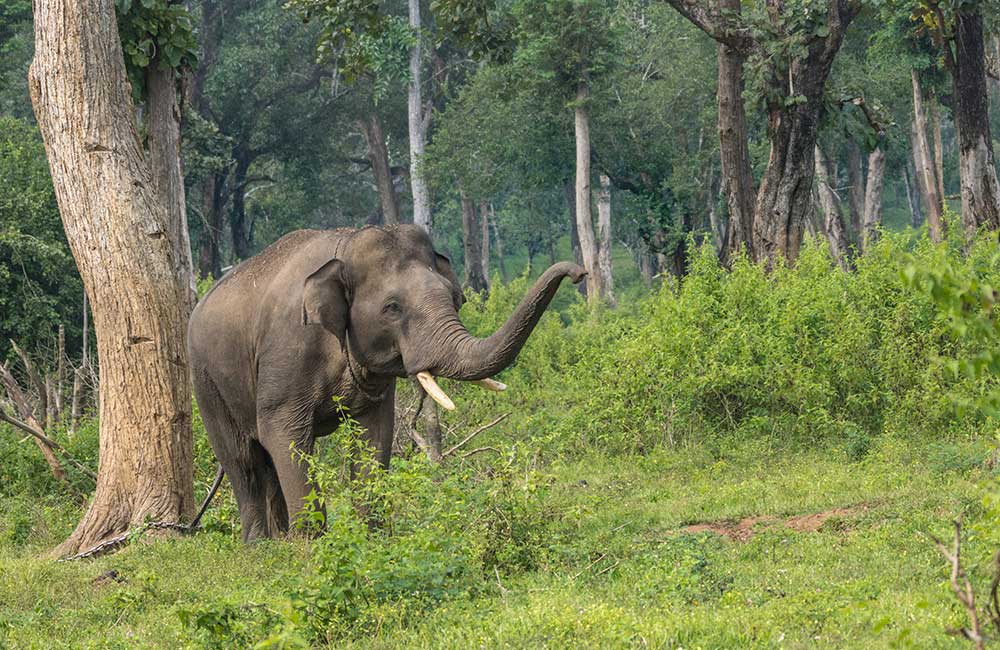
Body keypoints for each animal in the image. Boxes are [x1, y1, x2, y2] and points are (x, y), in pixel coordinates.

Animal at [188, 225, 584, 540]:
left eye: (454, 297)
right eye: (392, 308)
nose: (579, 273)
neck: (346, 246)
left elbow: (374, 436)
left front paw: (371, 540)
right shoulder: (287, 352)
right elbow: (283, 434)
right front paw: (310, 550)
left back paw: (276, 541)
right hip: (206, 382)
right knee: (243, 460)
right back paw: (261, 547)